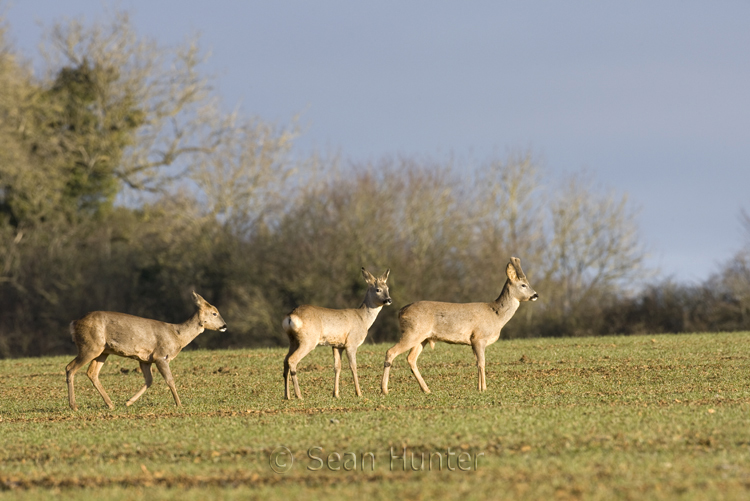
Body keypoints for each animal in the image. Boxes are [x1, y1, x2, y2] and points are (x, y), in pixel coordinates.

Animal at [65, 291, 227, 410]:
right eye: (214, 313)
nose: (224, 325)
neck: (178, 336)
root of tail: (74, 323)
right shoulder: (161, 356)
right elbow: (170, 380)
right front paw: (179, 404)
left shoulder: (145, 359)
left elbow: (149, 380)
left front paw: (128, 402)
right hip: (90, 346)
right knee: (70, 367)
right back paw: (74, 406)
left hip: (103, 351)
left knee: (91, 373)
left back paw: (110, 404)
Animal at [282, 267, 392, 400]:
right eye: (378, 289)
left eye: (387, 288)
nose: (389, 300)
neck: (363, 319)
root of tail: (291, 316)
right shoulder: (351, 343)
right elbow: (353, 366)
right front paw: (359, 393)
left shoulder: (337, 345)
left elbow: (337, 367)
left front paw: (336, 394)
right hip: (308, 340)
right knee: (292, 360)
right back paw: (299, 395)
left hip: (293, 340)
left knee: (285, 360)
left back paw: (287, 396)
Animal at [381, 257, 538, 395]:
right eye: (523, 285)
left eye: (528, 283)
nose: (535, 295)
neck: (496, 315)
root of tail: (401, 312)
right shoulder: (478, 337)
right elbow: (482, 362)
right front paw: (484, 389)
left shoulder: (473, 341)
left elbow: (477, 362)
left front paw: (479, 387)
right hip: (412, 332)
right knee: (391, 351)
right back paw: (384, 390)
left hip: (422, 337)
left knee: (411, 358)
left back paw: (426, 389)